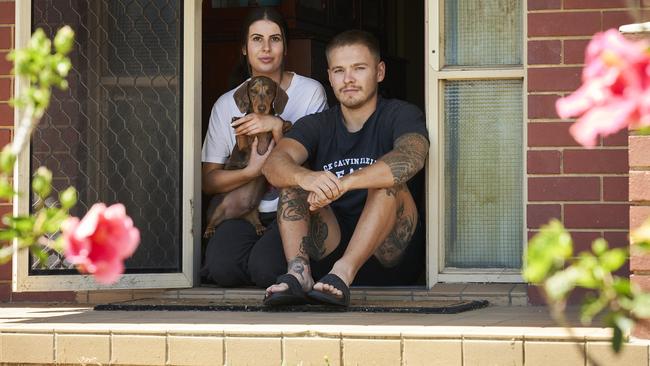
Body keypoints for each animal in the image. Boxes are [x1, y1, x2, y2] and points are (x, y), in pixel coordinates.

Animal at [202, 76, 288, 239]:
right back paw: (208, 230)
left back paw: (259, 227)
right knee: (211, 220)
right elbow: (242, 137)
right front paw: (237, 121)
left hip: (252, 210)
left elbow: (280, 125)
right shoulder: (242, 149)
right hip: (217, 206)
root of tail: (234, 215)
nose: (262, 108)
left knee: (254, 220)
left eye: (269, 92)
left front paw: (285, 123)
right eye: (253, 91)